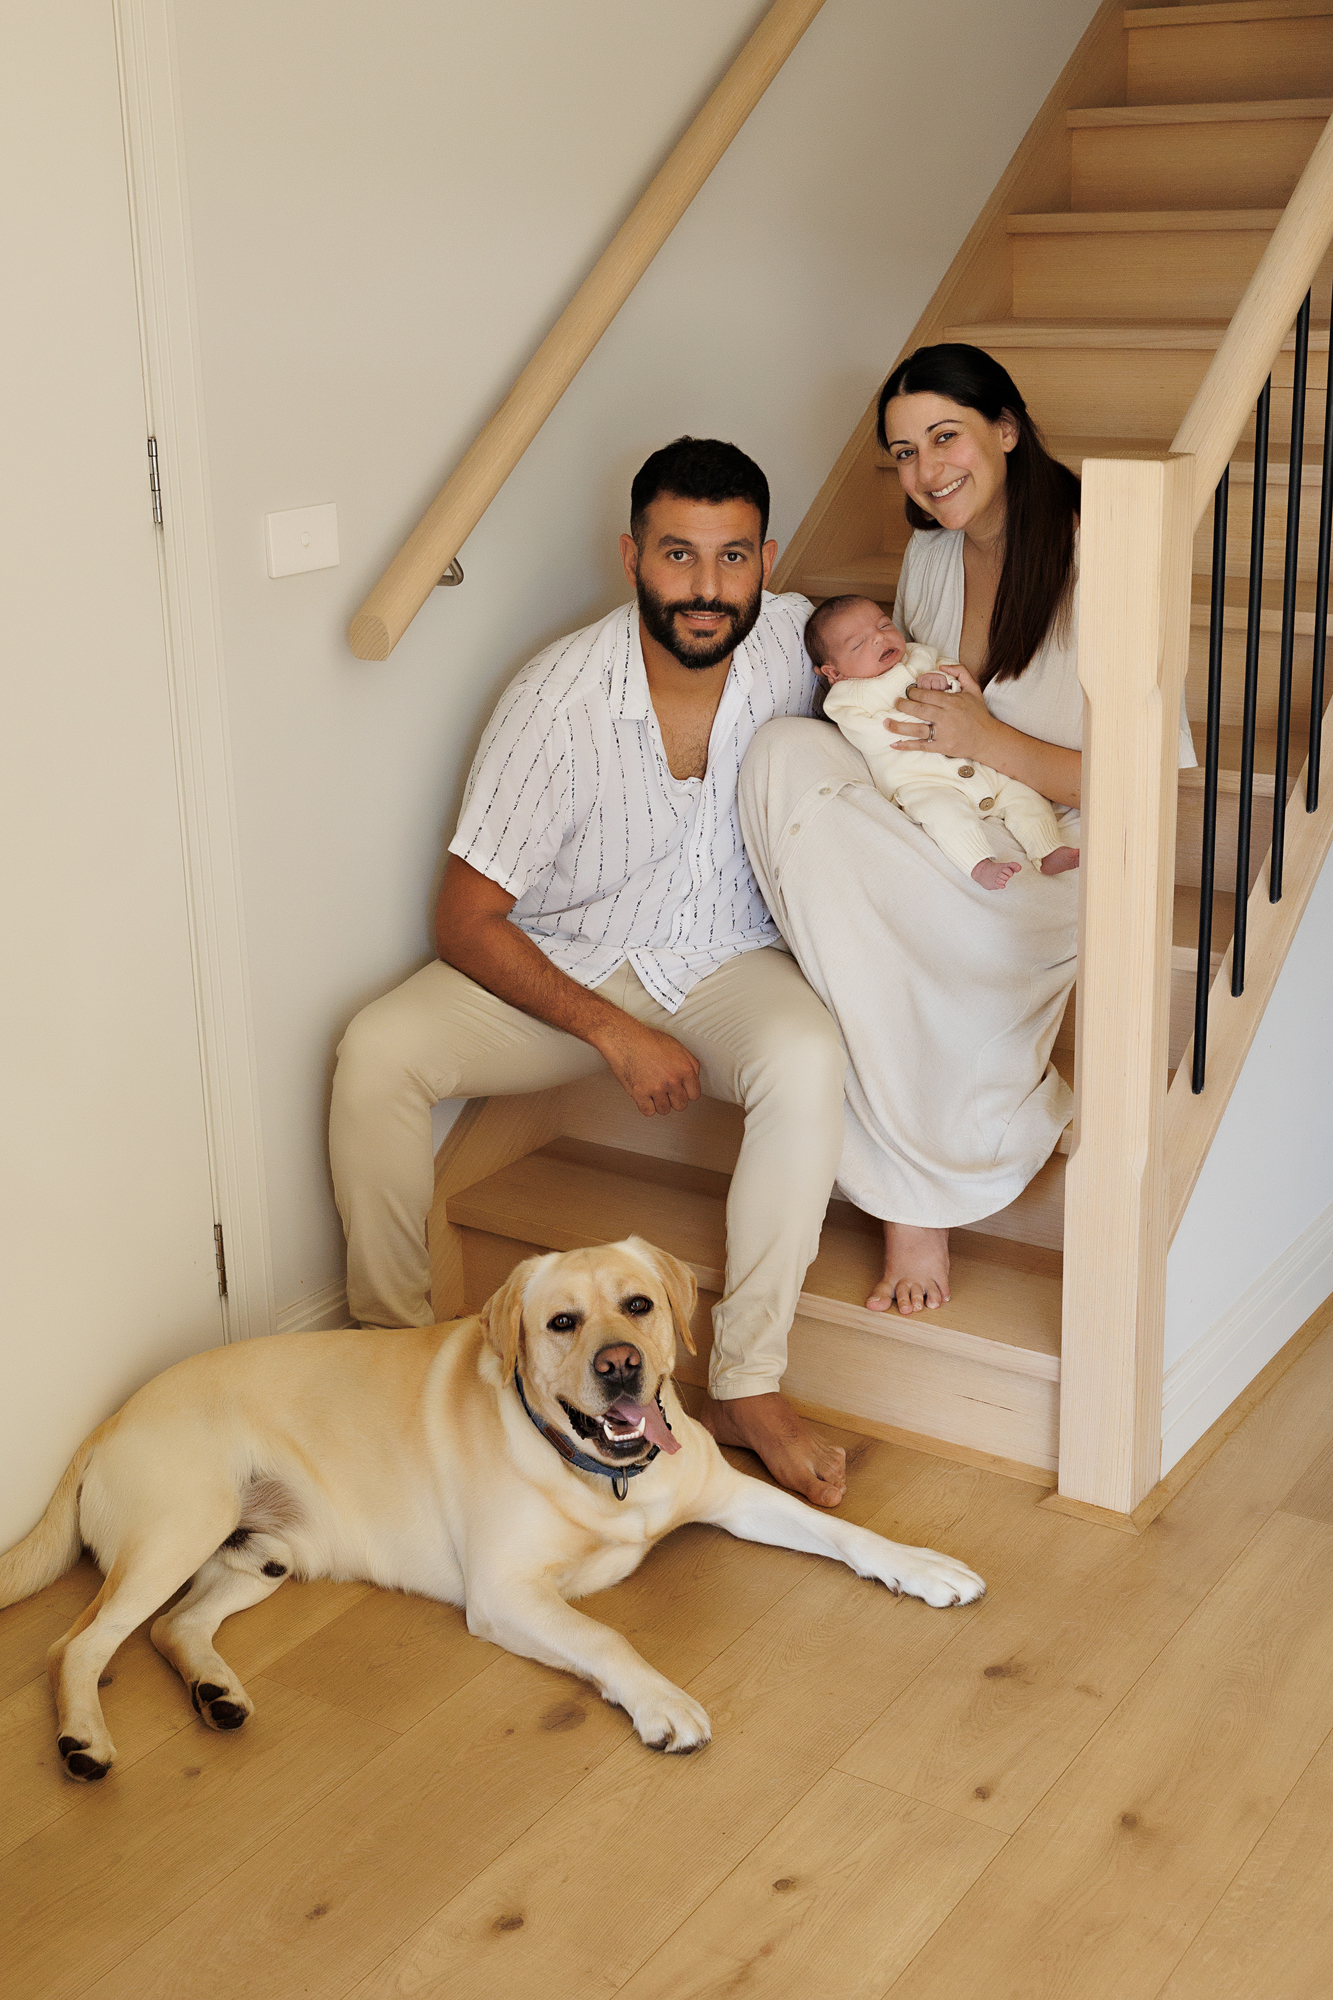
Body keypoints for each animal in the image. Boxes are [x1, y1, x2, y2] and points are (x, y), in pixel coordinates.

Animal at [0, 1232, 976, 1784]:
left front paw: (920, 1564)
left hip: (263, 1552)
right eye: (560, 1323)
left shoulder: (729, 1493)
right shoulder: (507, 1593)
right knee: (77, 1644)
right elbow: (604, 1639)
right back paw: (84, 1742)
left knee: (175, 1628)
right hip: (179, 1527)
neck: (605, 1475)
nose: (621, 1366)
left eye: (638, 1305)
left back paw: (216, 1691)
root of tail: (107, 1420)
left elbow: (838, 1529)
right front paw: (662, 1701)